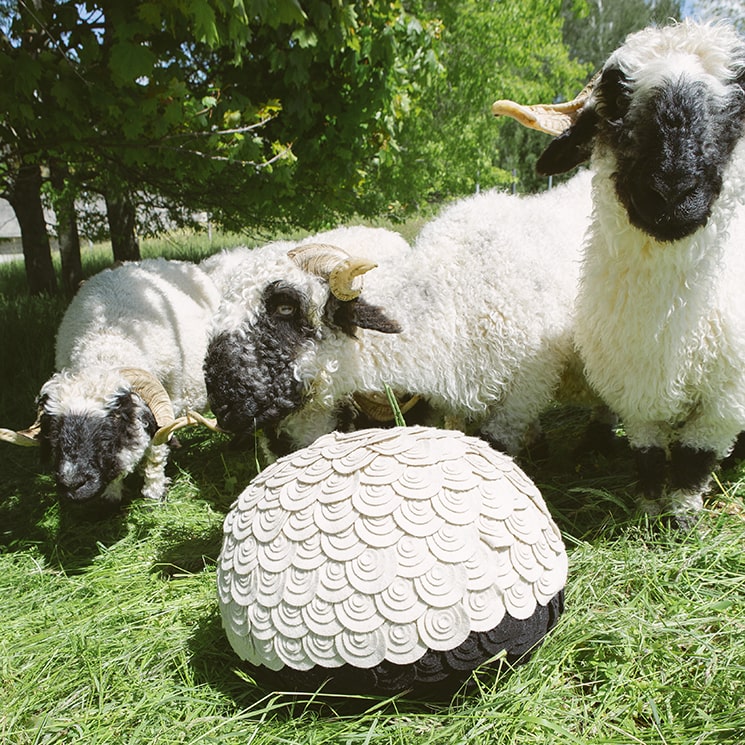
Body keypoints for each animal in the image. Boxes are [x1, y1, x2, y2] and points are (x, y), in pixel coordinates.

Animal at [0, 257, 221, 504]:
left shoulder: (168, 398)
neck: (107, 341)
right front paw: (111, 495)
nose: (72, 484)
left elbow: (156, 451)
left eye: (114, 422)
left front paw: (154, 492)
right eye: (53, 429)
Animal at [492, 20, 745, 526]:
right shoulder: (632, 386)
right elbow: (648, 454)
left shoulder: (726, 401)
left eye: (738, 103)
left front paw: (682, 521)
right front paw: (649, 509)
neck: (667, 325)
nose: (671, 192)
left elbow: (694, 460)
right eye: (615, 97)